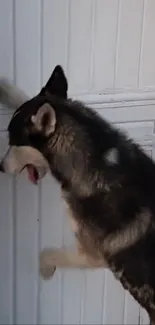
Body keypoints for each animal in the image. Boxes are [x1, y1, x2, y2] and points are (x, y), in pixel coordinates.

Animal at [0, 64, 155, 322]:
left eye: (13, 142)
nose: (0, 167)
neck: (99, 159)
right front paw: (7, 90)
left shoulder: (91, 254)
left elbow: (49, 252)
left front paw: (45, 268)